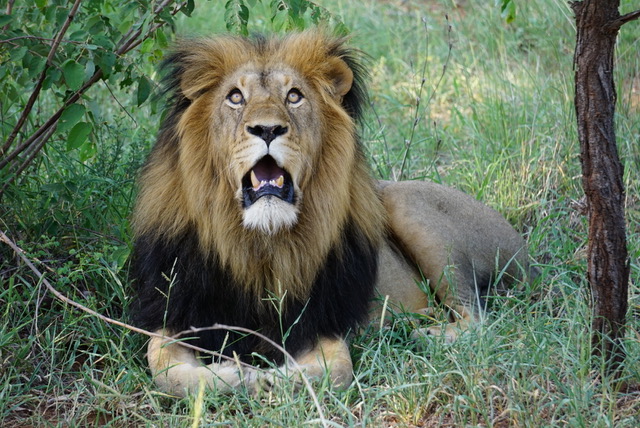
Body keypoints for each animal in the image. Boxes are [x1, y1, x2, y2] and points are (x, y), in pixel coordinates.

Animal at [130, 31, 535, 397]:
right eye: (235, 97)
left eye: (294, 96)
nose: (267, 129)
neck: (258, 244)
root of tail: (524, 249)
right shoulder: (178, 315)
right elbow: (165, 371)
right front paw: (235, 375)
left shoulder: (321, 324)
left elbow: (334, 373)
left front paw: (271, 379)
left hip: (405, 204)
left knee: (476, 318)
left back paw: (425, 334)